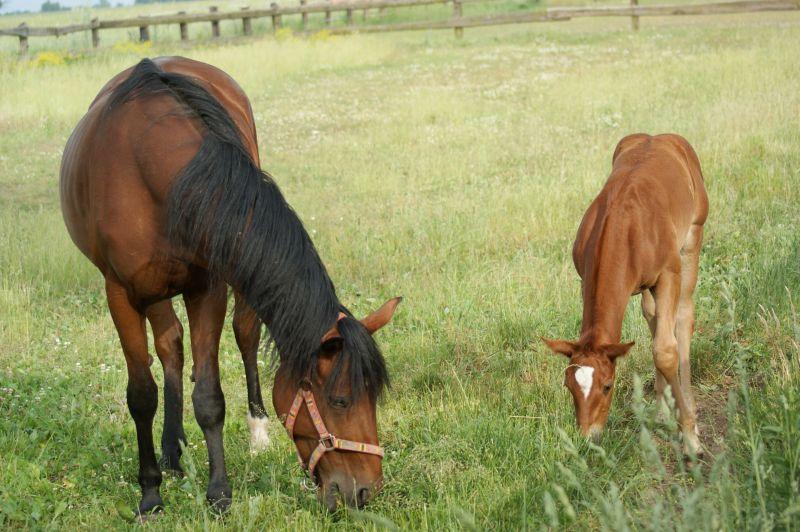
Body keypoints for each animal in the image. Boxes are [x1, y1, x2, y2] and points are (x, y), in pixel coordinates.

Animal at [59, 57, 404, 516]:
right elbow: (142, 395)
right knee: (170, 345)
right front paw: (150, 494)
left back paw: (254, 431)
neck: (154, 172)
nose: (366, 491)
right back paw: (172, 450)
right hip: (153, 289)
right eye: (341, 401)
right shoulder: (121, 293)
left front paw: (219, 492)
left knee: (242, 335)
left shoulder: (207, 286)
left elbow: (209, 396)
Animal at [544, 135, 708, 456]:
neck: (622, 225)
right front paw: (666, 412)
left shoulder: (668, 274)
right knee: (653, 315)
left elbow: (665, 350)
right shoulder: (585, 278)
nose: (589, 437)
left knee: (683, 316)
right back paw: (662, 408)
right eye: (568, 385)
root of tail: (663, 137)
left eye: (608, 385)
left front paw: (690, 436)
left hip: (692, 238)